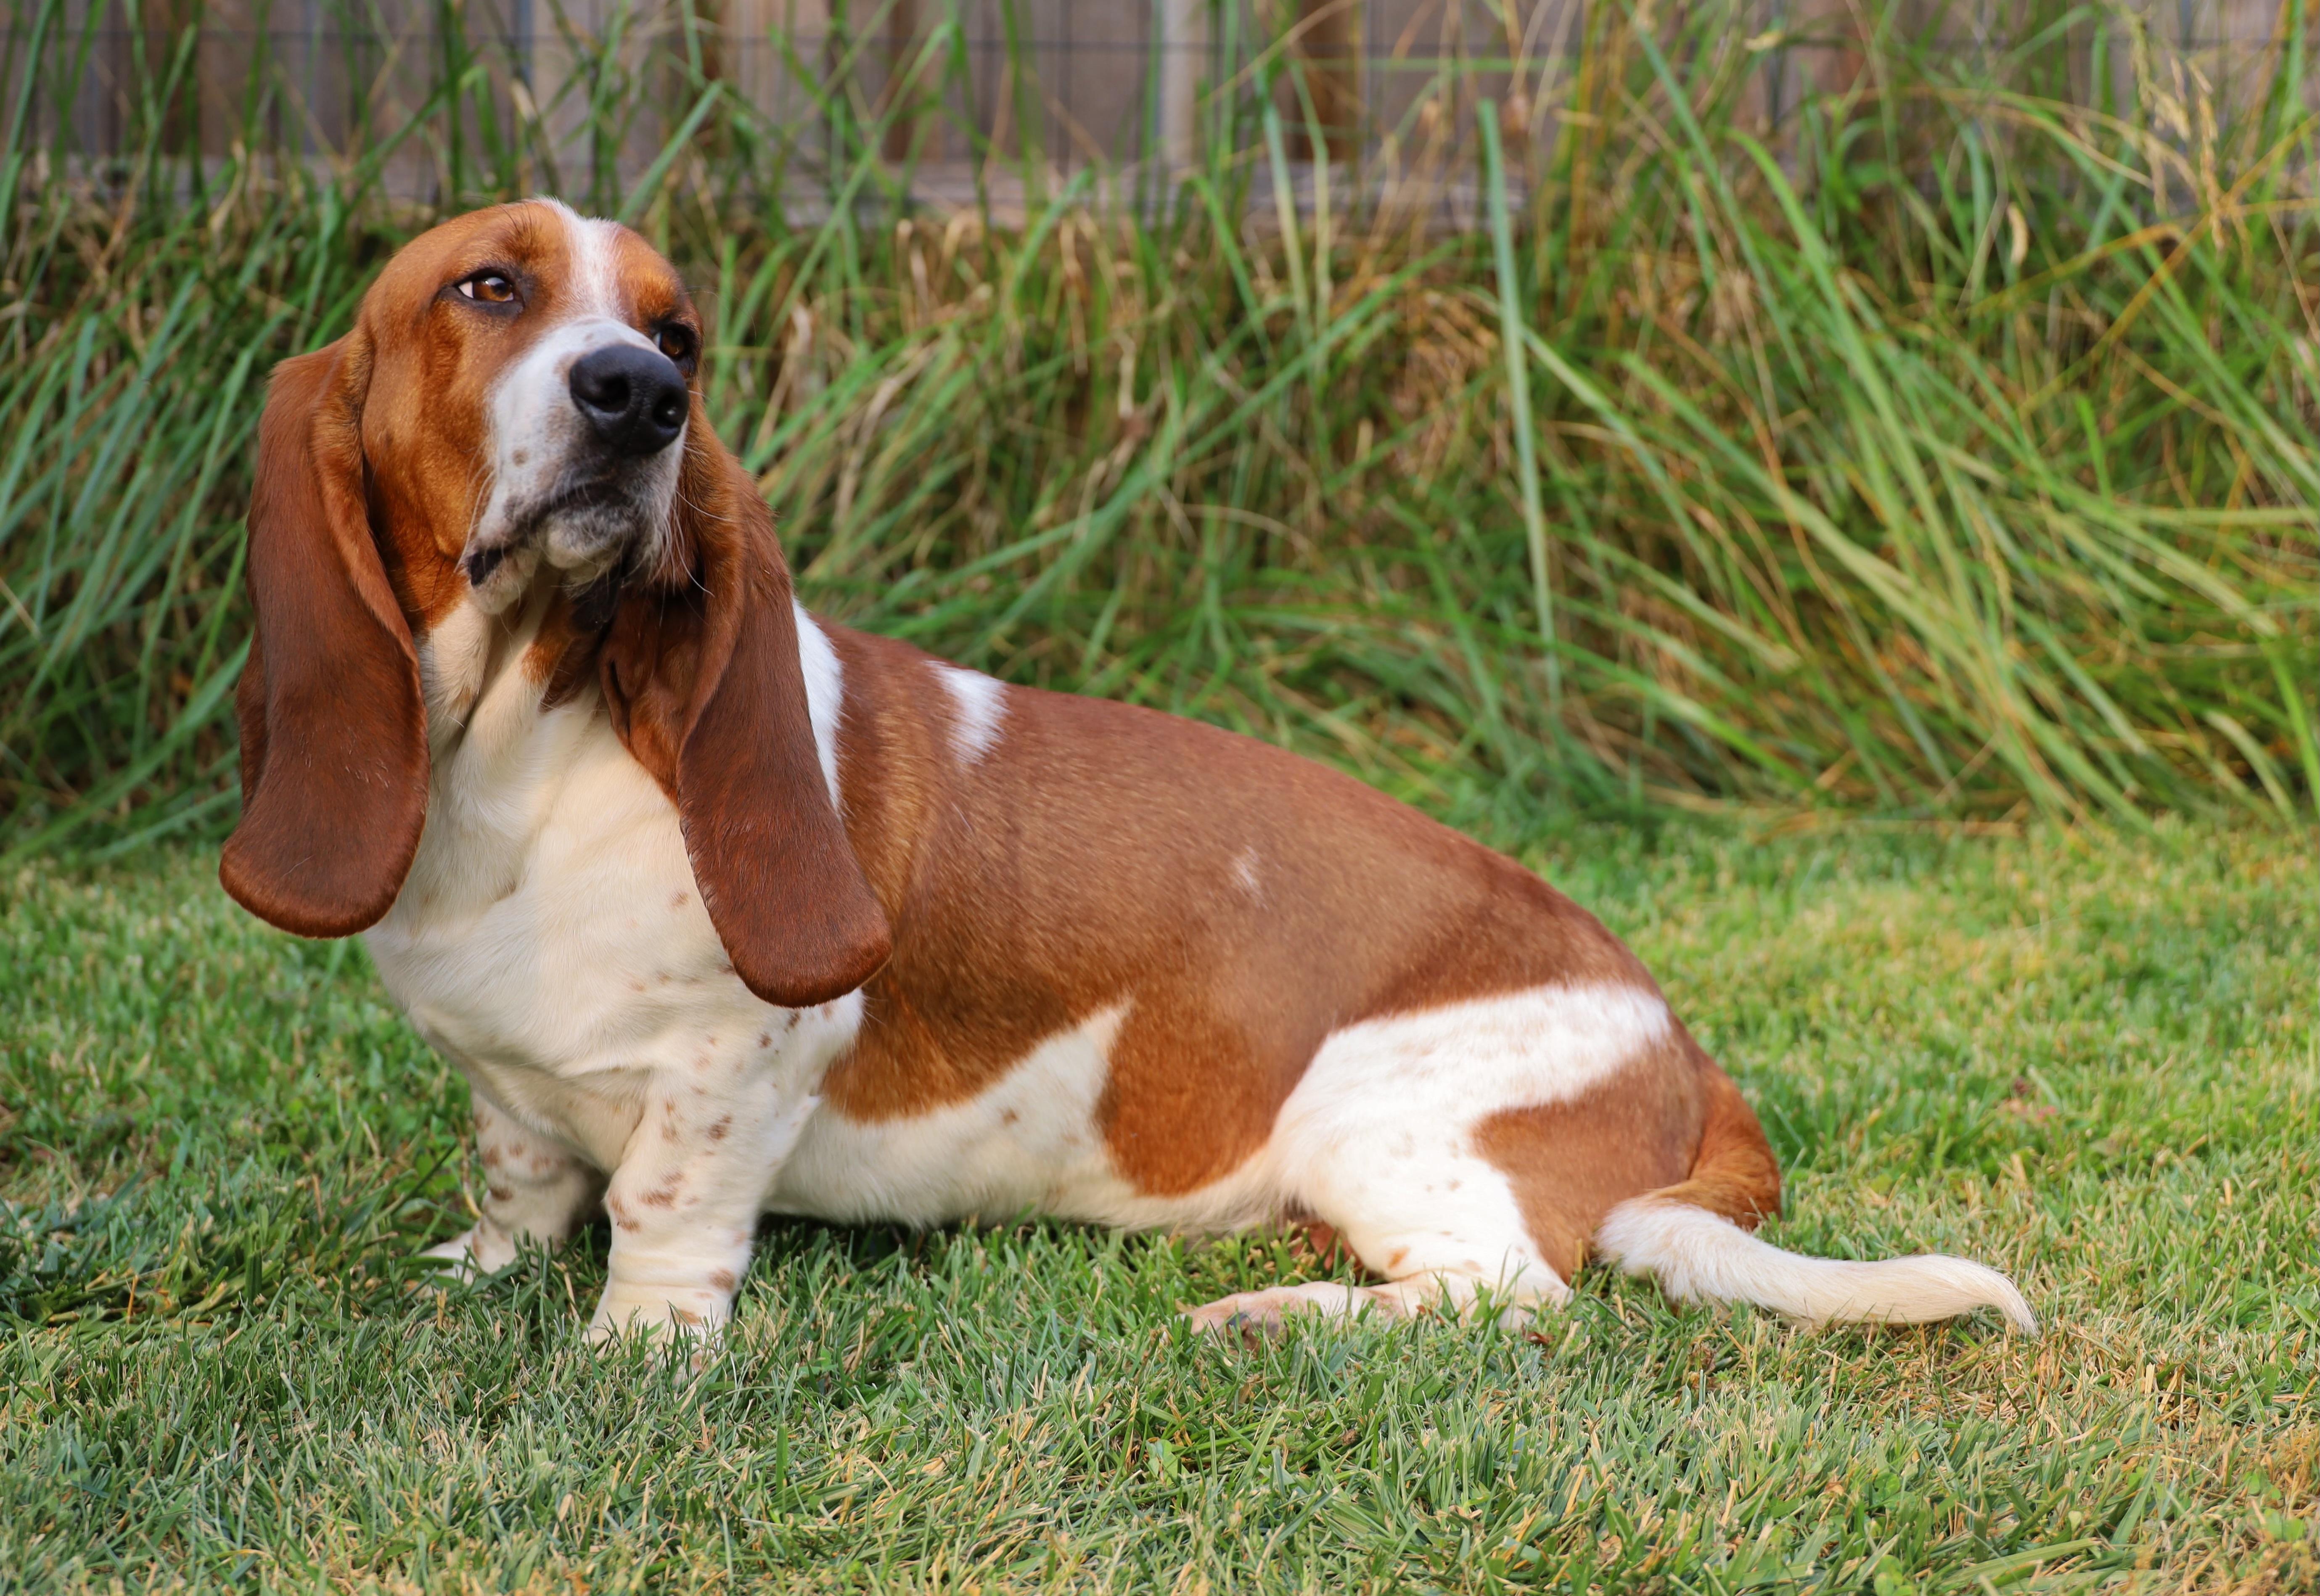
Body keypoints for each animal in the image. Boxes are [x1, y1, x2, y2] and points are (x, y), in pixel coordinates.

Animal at [220, 200, 2034, 1344]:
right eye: (485, 289)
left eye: (680, 332)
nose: (639, 395)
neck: (526, 755)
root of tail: (1675, 1044)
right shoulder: (508, 1093)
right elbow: (519, 1175)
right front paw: (475, 1274)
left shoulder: (741, 1065)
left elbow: (664, 1209)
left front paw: (629, 1355)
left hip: (1378, 1121)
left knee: (1511, 1296)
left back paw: (1272, 1316)